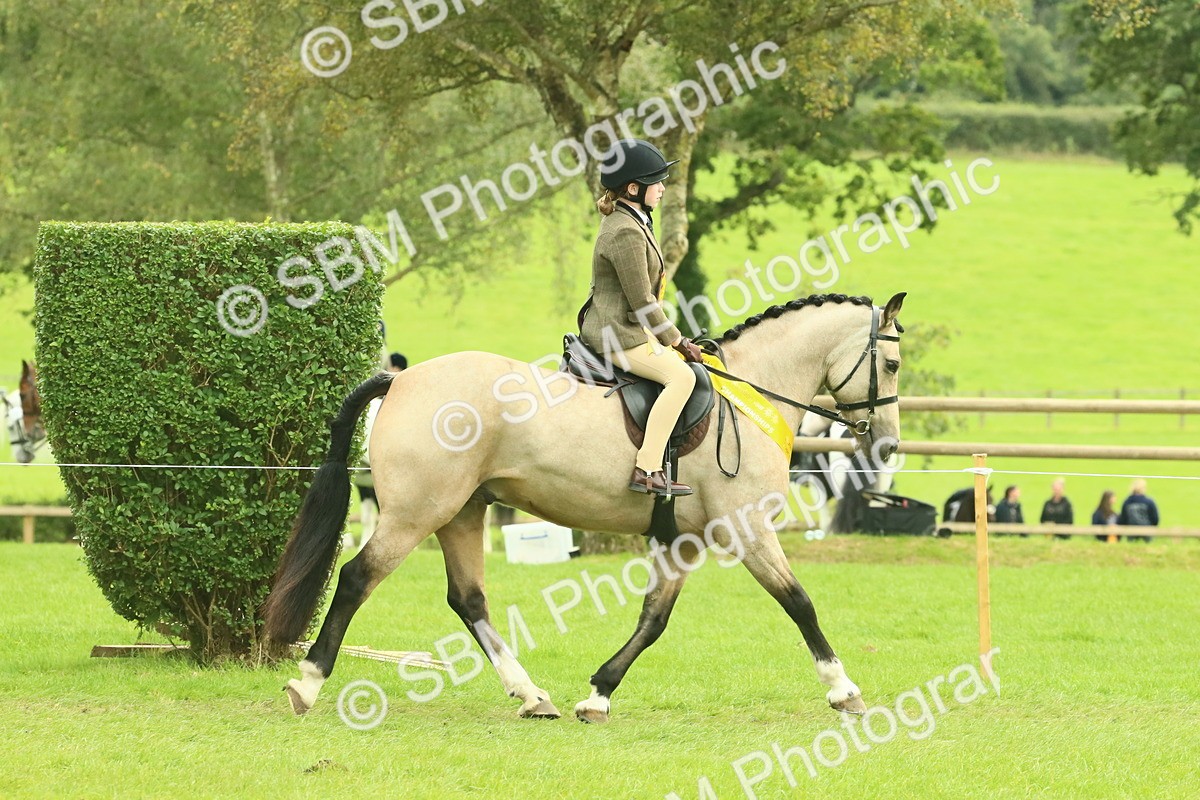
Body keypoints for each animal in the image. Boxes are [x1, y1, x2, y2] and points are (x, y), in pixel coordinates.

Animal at [263, 292, 906, 723]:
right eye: (894, 364)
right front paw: (844, 691)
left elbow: (653, 619)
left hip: (462, 511)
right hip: (417, 512)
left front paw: (598, 694)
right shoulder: (745, 528)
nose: (887, 445)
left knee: (468, 600)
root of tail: (402, 380)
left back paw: (532, 696)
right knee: (356, 578)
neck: (750, 393)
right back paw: (308, 684)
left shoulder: (683, 541)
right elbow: (799, 603)